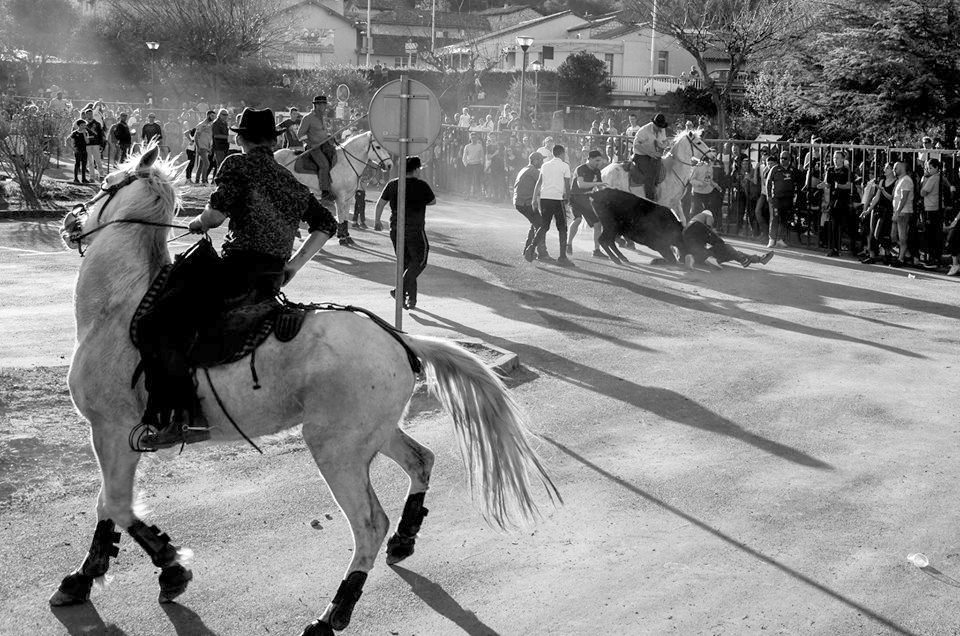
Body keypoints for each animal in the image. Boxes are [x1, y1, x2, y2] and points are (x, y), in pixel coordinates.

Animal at [52, 144, 560, 636]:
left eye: (107, 182)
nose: (69, 221)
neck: (121, 306)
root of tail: (398, 339)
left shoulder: (112, 430)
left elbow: (116, 505)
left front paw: (165, 565)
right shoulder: (115, 435)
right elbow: (107, 504)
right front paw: (90, 577)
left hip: (336, 448)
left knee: (369, 525)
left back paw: (333, 615)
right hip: (373, 434)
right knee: (421, 461)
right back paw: (404, 539)